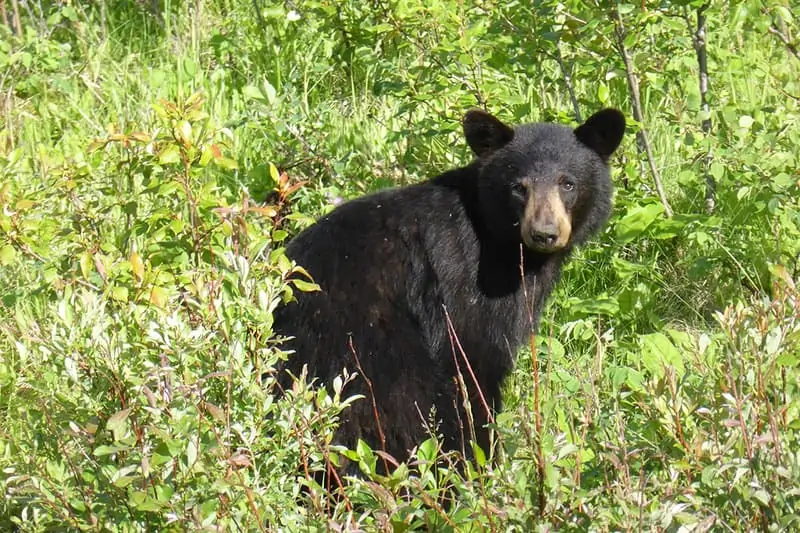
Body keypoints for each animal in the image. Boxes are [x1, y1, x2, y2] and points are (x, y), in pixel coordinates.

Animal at [276, 108, 624, 474]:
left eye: (567, 183)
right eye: (519, 187)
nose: (544, 233)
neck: (500, 242)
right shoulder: (465, 283)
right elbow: (475, 362)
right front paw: (484, 459)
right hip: (370, 351)